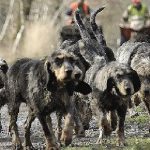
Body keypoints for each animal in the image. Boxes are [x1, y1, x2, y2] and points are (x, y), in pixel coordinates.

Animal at [74, 7, 141, 146]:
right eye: (118, 76)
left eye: (130, 75)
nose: (128, 89)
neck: (112, 92)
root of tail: (98, 58)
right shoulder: (96, 105)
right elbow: (102, 120)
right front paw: (105, 132)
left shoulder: (121, 107)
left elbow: (120, 125)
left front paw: (121, 140)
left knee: (112, 115)